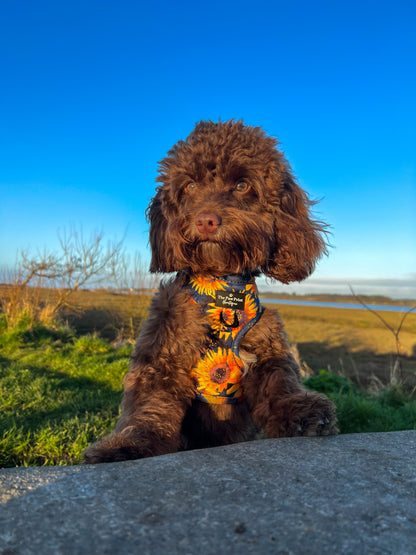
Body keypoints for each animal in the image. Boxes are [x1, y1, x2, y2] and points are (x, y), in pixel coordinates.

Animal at [83, 121, 338, 464]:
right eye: (189, 186)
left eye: (242, 185)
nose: (206, 220)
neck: (221, 289)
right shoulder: (162, 352)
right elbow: (151, 404)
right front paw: (128, 446)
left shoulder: (267, 347)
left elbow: (278, 382)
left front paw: (300, 411)